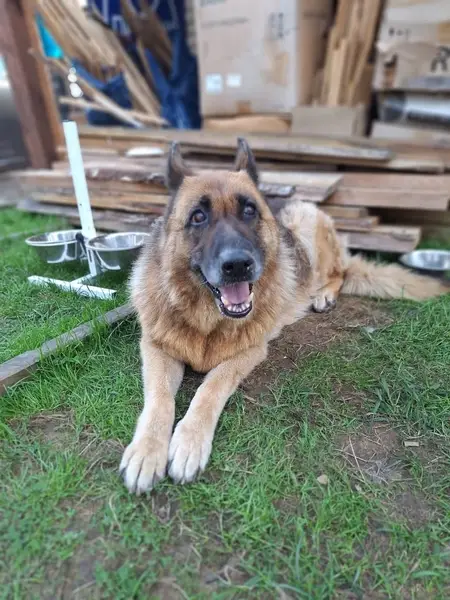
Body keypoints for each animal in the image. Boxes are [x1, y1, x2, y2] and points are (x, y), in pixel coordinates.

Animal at [120, 138, 446, 494]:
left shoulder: (249, 352)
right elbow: (160, 401)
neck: (207, 321)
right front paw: (147, 450)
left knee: (340, 273)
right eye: (198, 216)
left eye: (249, 211)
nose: (238, 264)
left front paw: (189, 442)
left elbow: (208, 390)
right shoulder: (155, 348)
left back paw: (323, 294)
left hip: (305, 224)